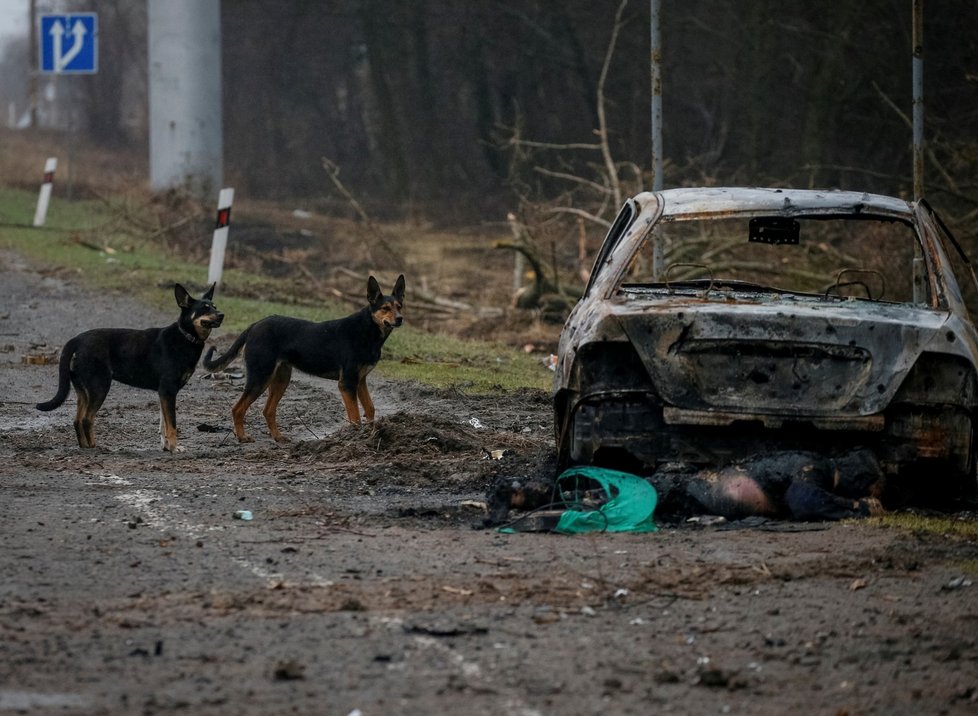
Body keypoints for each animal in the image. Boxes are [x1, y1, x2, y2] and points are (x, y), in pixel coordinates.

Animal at [35, 282, 223, 450]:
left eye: (214, 306)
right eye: (205, 308)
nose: (222, 314)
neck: (185, 336)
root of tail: (76, 340)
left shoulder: (164, 393)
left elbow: (163, 424)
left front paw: (166, 446)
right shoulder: (168, 391)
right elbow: (172, 425)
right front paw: (173, 448)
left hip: (83, 389)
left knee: (77, 420)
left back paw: (85, 446)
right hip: (99, 386)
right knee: (87, 419)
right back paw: (94, 447)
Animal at [204, 274, 402, 442]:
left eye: (399, 306)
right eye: (385, 308)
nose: (400, 319)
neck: (368, 330)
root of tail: (254, 326)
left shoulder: (360, 381)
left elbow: (370, 408)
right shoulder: (347, 383)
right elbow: (355, 416)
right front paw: (355, 437)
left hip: (281, 378)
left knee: (268, 410)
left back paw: (278, 437)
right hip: (260, 377)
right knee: (237, 409)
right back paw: (242, 437)